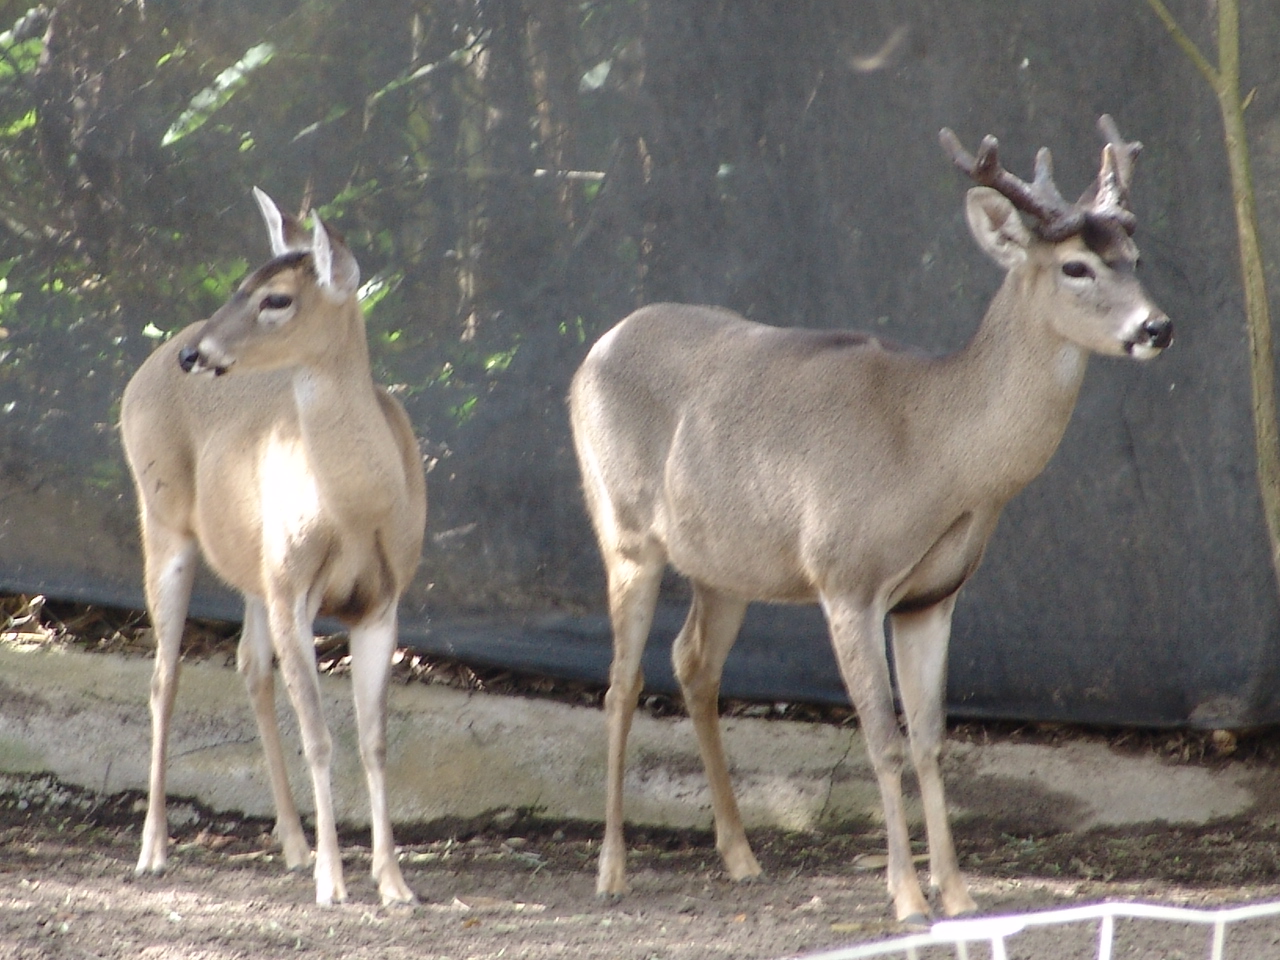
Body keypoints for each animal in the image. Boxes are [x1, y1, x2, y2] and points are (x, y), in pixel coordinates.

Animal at [120, 188, 427, 907]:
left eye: (277, 298)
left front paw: (394, 883)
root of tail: (143, 369)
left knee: (249, 665)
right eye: (241, 283)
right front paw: (335, 884)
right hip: (165, 520)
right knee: (164, 676)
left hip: (255, 567)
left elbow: (374, 740)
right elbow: (319, 737)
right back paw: (153, 851)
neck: (357, 507)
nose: (196, 354)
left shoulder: (382, 599)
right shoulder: (295, 589)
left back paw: (292, 844)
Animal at [568, 116, 1171, 925]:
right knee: (621, 682)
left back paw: (741, 856)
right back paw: (611, 870)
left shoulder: (932, 596)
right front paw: (908, 898)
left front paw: (959, 894)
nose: (1156, 326)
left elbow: (930, 741)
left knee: (694, 663)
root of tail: (589, 358)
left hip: (725, 562)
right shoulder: (845, 577)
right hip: (625, 531)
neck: (934, 451)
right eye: (1075, 266)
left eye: (1135, 257)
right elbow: (883, 742)